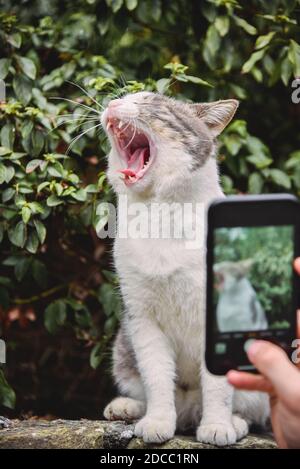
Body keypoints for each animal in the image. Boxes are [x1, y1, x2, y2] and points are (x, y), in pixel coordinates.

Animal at [101, 91, 270, 446]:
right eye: (122, 96)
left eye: (150, 102)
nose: (111, 103)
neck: (160, 215)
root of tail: (191, 409)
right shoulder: (142, 317)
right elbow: (156, 378)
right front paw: (156, 422)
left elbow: (218, 387)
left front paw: (218, 426)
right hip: (123, 346)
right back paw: (128, 407)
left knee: (253, 411)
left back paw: (234, 422)